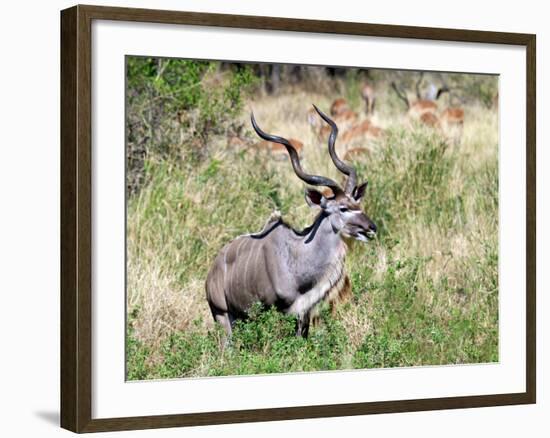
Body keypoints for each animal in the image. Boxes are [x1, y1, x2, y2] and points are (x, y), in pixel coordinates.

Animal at [207, 104, 380, 338]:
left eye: (358, 204)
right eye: (343, 208)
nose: (371, 228)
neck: (299, 257)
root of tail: (212, 273)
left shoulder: (304, 314)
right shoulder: (277, 311)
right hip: (223, 316)